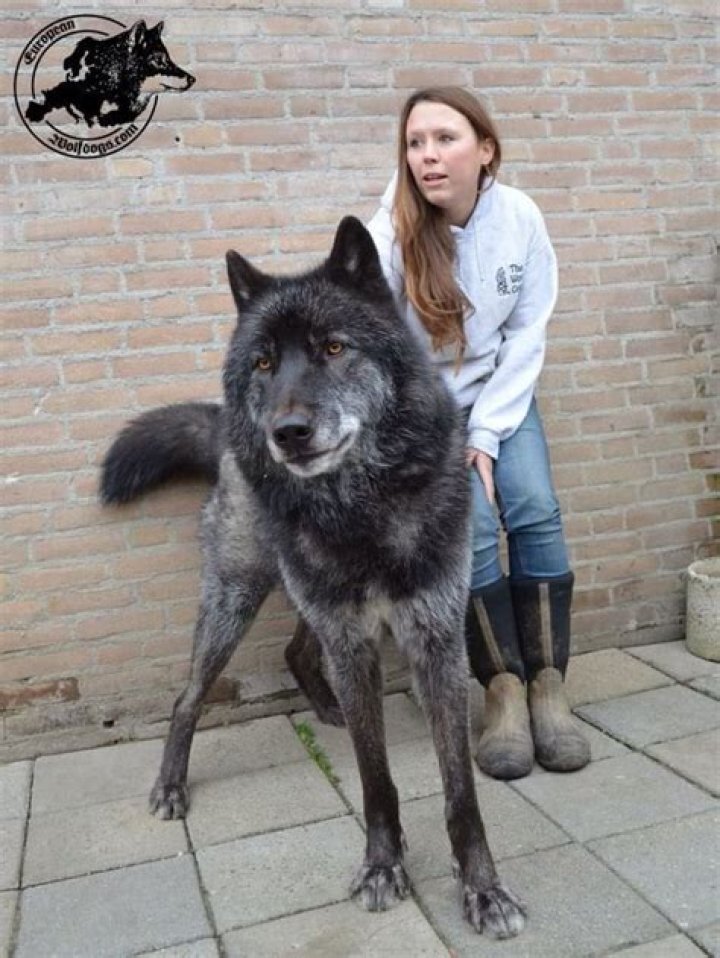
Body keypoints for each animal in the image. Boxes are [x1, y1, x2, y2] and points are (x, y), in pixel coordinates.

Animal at [101, 217, 525, 938]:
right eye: (264, 363)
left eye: (333, 347)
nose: (288, 433)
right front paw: (383, 865)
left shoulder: (433, 641)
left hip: (305, 600)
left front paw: (484, 889)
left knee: (296, 650)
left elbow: (460, 791)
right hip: (236, 599)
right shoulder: (353, 644)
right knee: (189, 697)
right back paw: (172, 784)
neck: (362, 510)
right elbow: (374, 775)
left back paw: (324, 707)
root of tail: (225, 431)